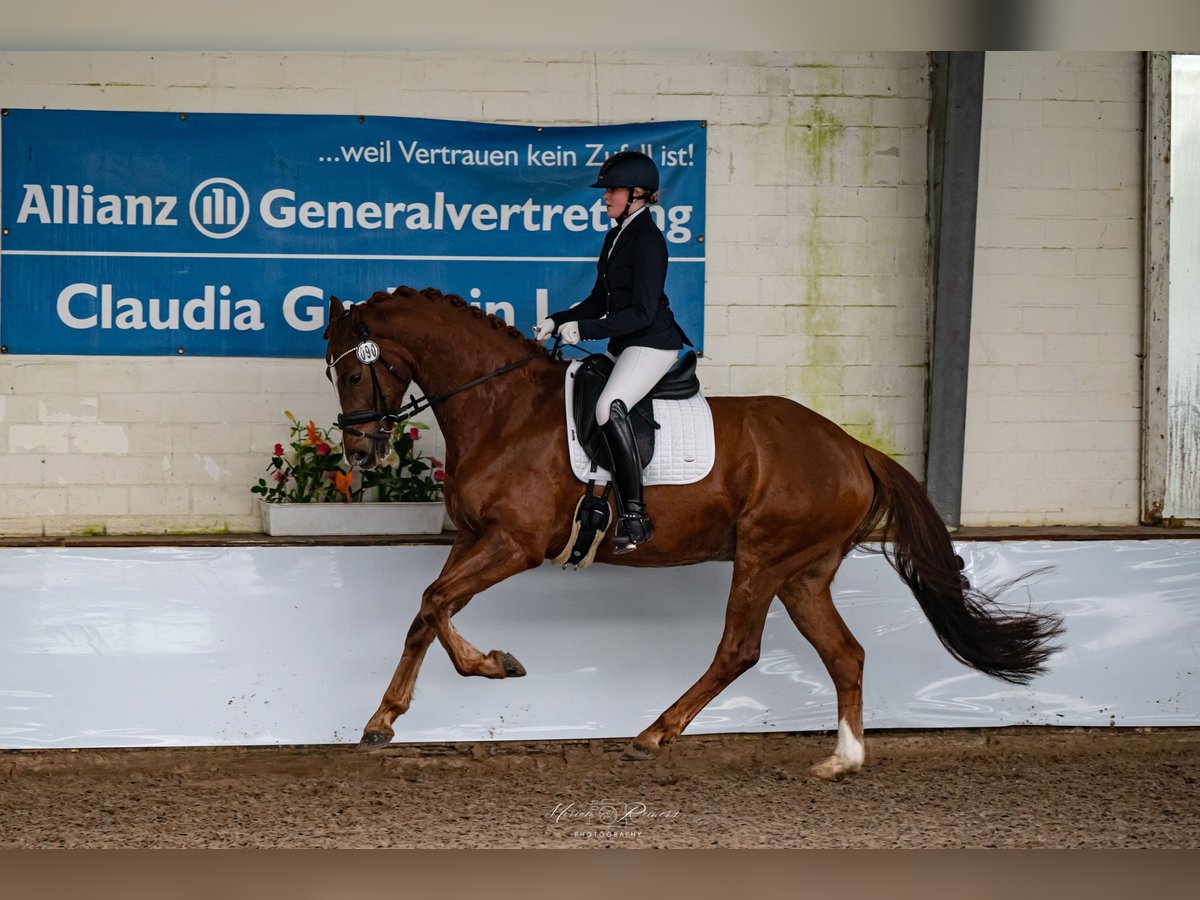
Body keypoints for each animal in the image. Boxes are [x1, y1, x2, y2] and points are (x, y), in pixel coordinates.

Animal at [326, 289, 1060, 782]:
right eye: (335, 373)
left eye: (356, 371)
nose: (360, 454)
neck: (502, 409)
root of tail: (852, 448)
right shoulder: (476, 537)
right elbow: (431, 609)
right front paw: (406, 706)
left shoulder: (515, 544)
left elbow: (433, 603)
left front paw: (461, 679)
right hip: (803, 573)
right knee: (844, 653)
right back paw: (842, 760)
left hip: (764, 558)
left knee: (739, 649)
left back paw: (655, 734)